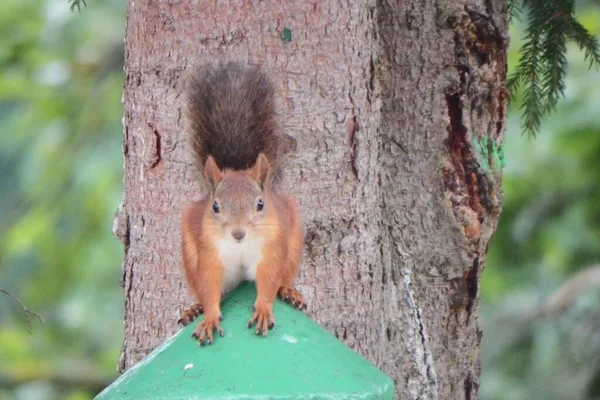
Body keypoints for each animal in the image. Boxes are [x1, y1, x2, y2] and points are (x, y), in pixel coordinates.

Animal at [176, 62, 302, 346]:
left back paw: (289, 291)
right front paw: (209, 318)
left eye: (260, 204)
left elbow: (267, 278)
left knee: (283, 276)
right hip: (189, 255)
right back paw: (194, 308)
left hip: (293, 246)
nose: (238, 233)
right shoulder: (210, 255)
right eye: (215, 207)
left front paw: (264, 309)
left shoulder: (271, 249)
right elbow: (209, 283)